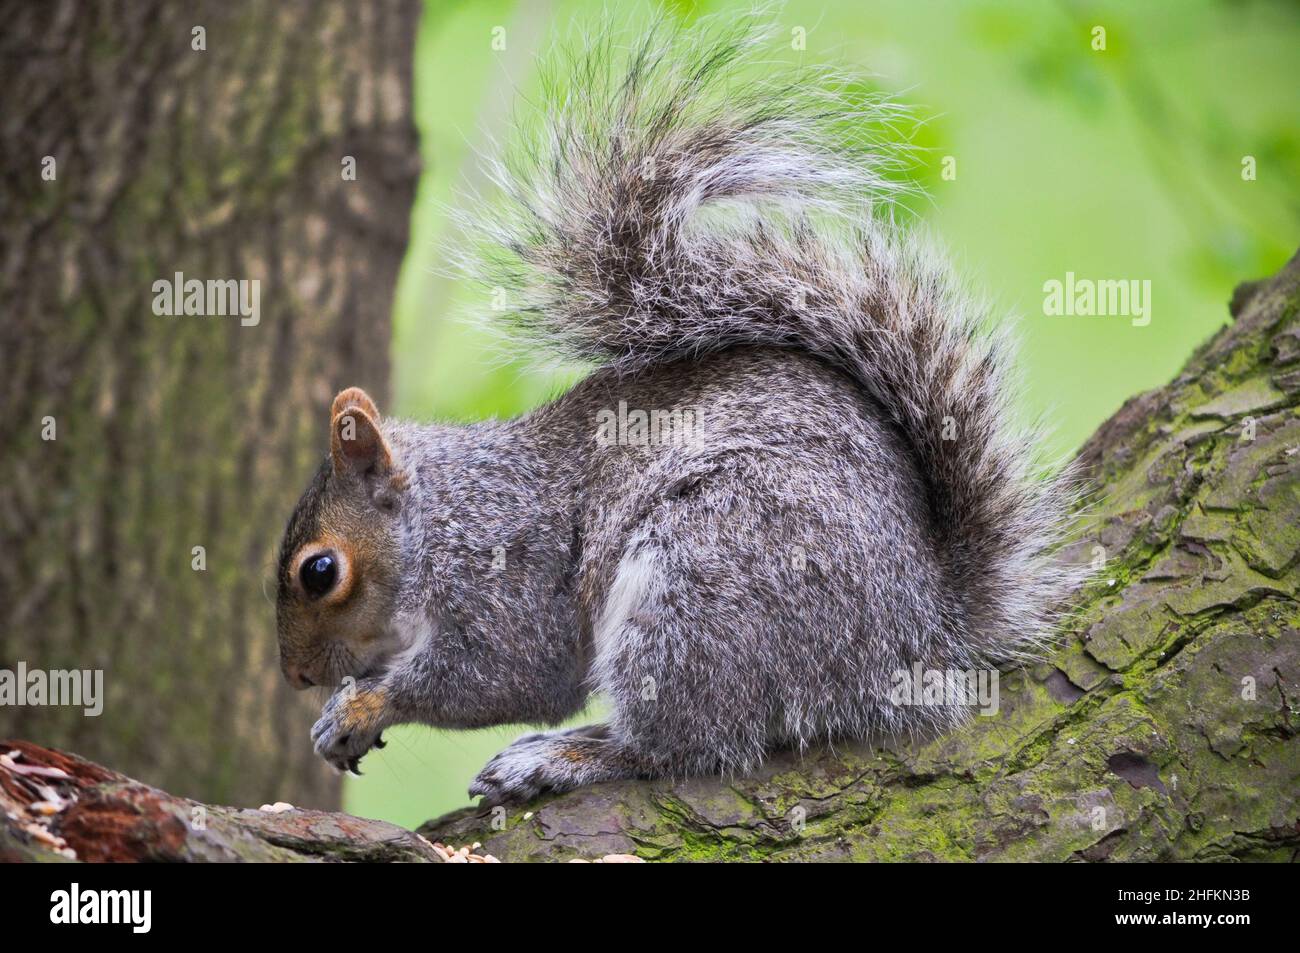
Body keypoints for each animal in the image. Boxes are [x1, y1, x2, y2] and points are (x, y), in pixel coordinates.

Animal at [276, 16, 1086, 800]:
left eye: (320, 571)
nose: (296, 675)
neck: (439, 519)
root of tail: (921, 632)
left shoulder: (508, 577)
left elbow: (503, 676)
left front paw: (366, 703)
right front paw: (339, 712)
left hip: (702, 580)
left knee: (678, 744)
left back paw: (567, 755)